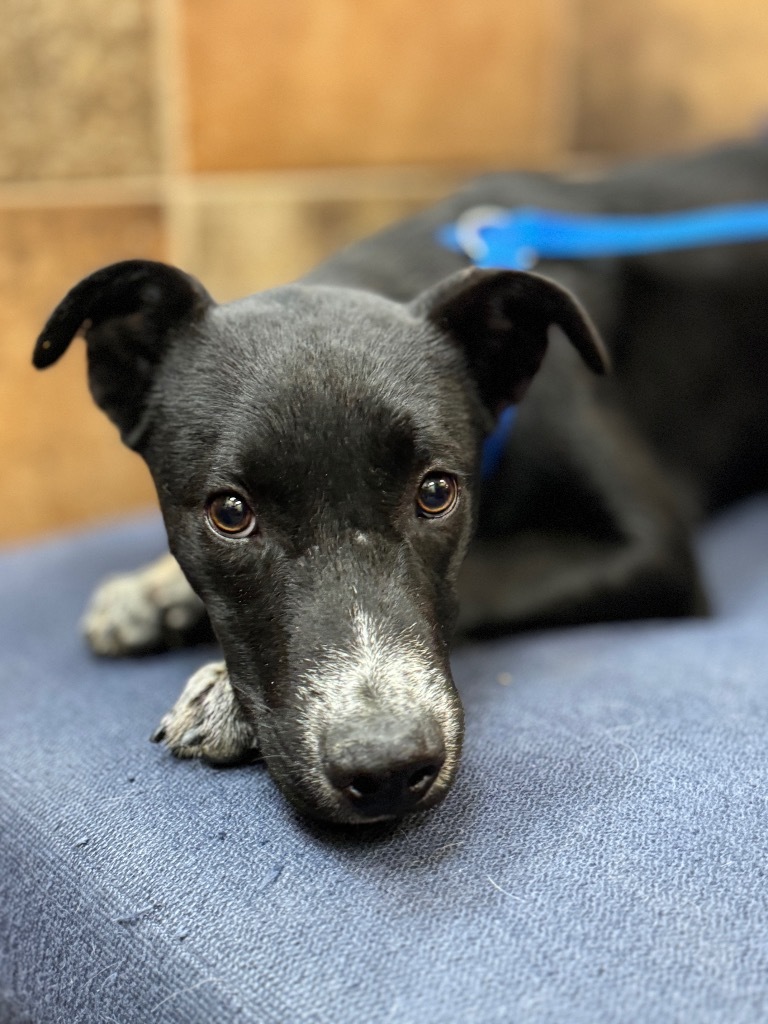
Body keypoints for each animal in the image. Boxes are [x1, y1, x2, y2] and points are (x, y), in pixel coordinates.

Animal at [34, 140, 768, 823]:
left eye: (436, 493)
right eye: (230, 513)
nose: (386, 769)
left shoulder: (654, 544)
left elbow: (480, 577)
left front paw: (221, 691)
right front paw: (154, 588)